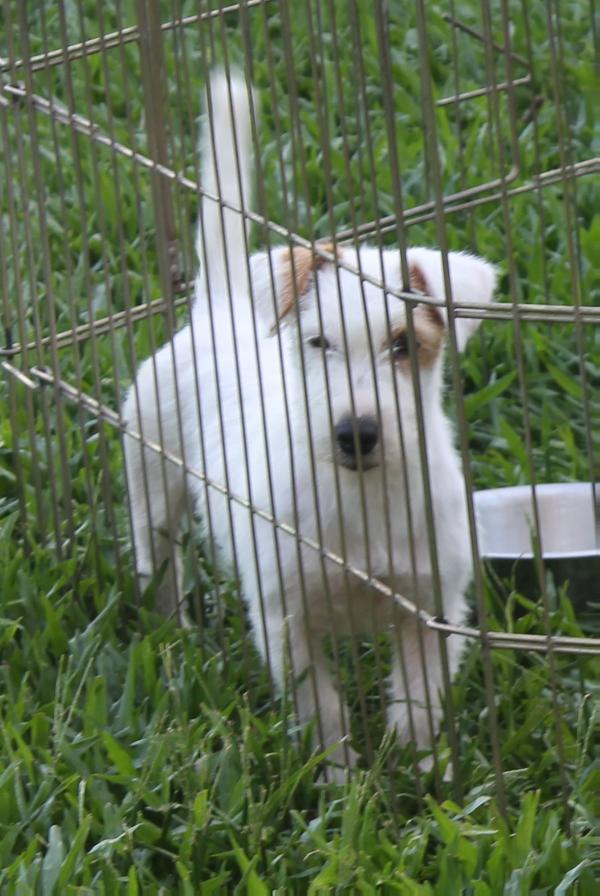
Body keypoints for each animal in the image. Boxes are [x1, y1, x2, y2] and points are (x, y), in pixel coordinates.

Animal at [120, 73, 492, 780]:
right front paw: (342, 782)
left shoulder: (432, 608)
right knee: (161, 565)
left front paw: (418, 769)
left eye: (404, 345)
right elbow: (322, 710)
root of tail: (220, 304)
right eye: (318, 342)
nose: (356, 433)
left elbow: (421, 699)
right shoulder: (284, 620)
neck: (364, 500)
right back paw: (173, 634)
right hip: (150, 478)